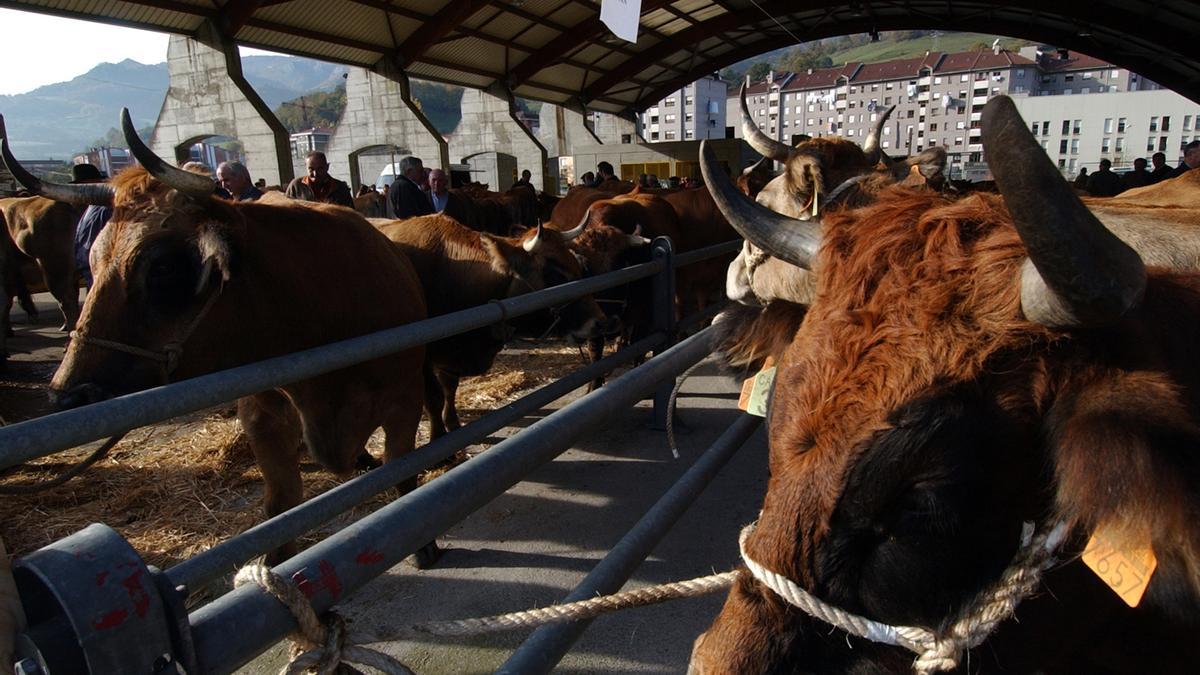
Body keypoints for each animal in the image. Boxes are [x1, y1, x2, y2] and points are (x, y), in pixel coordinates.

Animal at [0, 111, 432, 562]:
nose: (66, 395)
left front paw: (424, 547)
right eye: (95, 258)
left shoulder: (405, 398)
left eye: (163, 267)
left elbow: (403, 475)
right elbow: (281, 509)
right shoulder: (262, 417)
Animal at [372, 212, 609, 439]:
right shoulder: (422, 360)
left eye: (577, 266)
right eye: (556, 274)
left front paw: (453, 423)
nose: (600, 322)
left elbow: (450, 388)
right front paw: (438, 437)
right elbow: (434, 397)